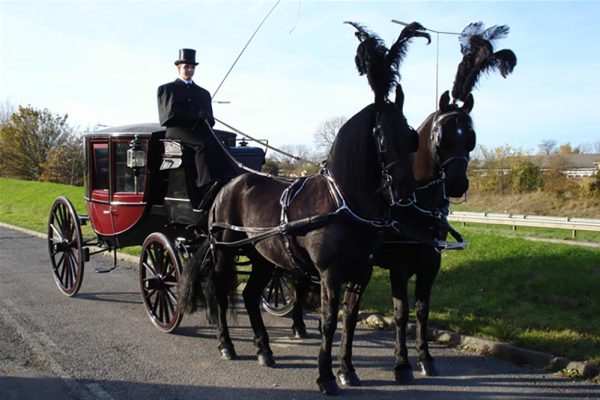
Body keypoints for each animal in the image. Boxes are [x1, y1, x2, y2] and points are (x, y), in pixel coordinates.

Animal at [180, 21, 428, 394]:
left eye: (411, 135)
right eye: (382, 136)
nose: (404, 191)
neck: (343, 201)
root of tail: (227, 183)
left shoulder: (361, 272)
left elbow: (348, 320)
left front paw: (347, 369)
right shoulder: (329, 273)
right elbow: (328, 322)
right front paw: (325, 377)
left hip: (262, 256)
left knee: (250, 296)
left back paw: (264, 350)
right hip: (224, 249)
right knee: (220, 291)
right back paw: (226, 344)